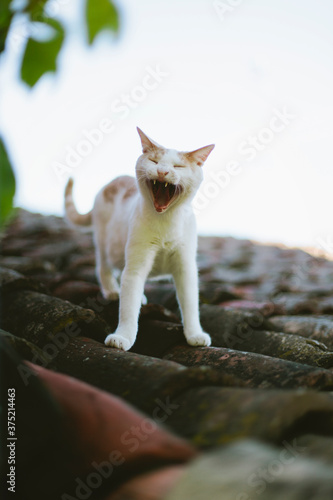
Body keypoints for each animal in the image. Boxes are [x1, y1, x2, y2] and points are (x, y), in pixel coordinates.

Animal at [65, 129, 214, 352]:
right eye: (154, 161)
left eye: (178, 166)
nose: (162, 171)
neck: (166, 222)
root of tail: (112, 182)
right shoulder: (136, 266)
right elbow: (128, 308)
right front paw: (123, 337)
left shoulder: (185, 267)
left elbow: (190, 304)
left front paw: (195, 334)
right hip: (104, 243)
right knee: (103, 267)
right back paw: (112, 291)